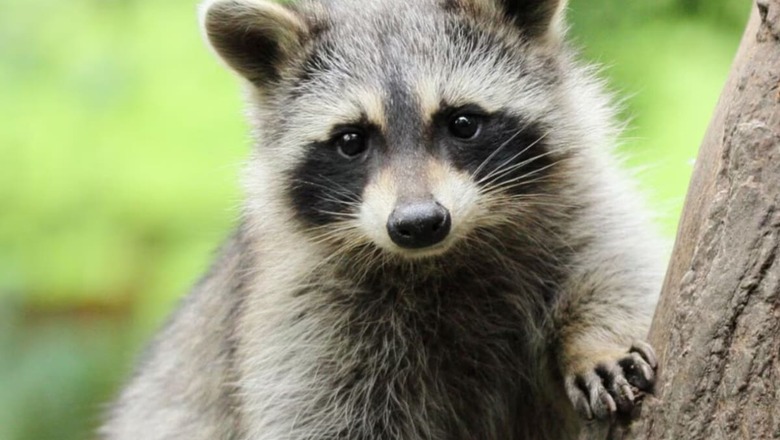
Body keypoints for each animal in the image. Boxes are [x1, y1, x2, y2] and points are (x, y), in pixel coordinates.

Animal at [100, 0, 665, 439]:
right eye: (351, 140)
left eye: (463, 122)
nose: (419, 223)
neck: (443, 257)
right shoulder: (303, 315)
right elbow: (318, 413)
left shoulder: (580, 203)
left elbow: (615, 267)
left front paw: (595, 339)